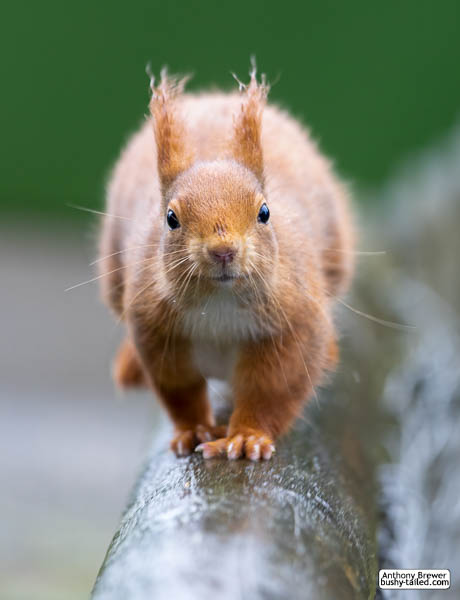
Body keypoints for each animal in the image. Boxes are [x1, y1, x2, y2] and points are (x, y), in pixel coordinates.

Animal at [99, 64, 354, 460]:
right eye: (170, 218)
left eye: (265, 212)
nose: (223, 250)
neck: (219, 303)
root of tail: (210, 98)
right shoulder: (154, 329)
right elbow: (179, 389)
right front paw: (193, 429)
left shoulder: (295, 321)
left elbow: (272, 389)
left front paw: (248, 437)